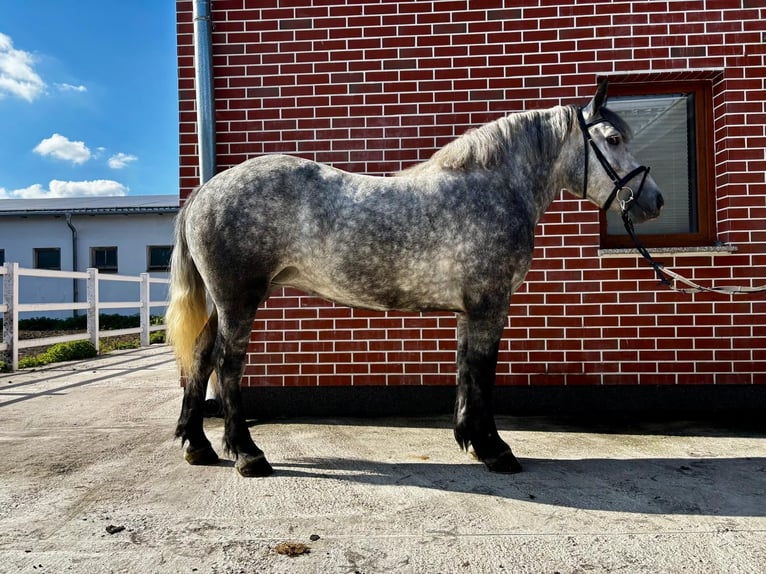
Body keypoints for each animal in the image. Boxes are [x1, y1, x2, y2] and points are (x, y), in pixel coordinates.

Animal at [166, 81, 663, 477]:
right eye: (613, 138)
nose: (653, 201)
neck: (494, 187)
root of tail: (206, 190)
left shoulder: (470, 310)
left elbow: (465, 371)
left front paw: (471, 442)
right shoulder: (490, 305)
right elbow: (483, 375)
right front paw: (496, 450)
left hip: (224, 303)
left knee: (201, 357)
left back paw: (199, 446)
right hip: (239, 299)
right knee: (228, 365)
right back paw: (247, 455)